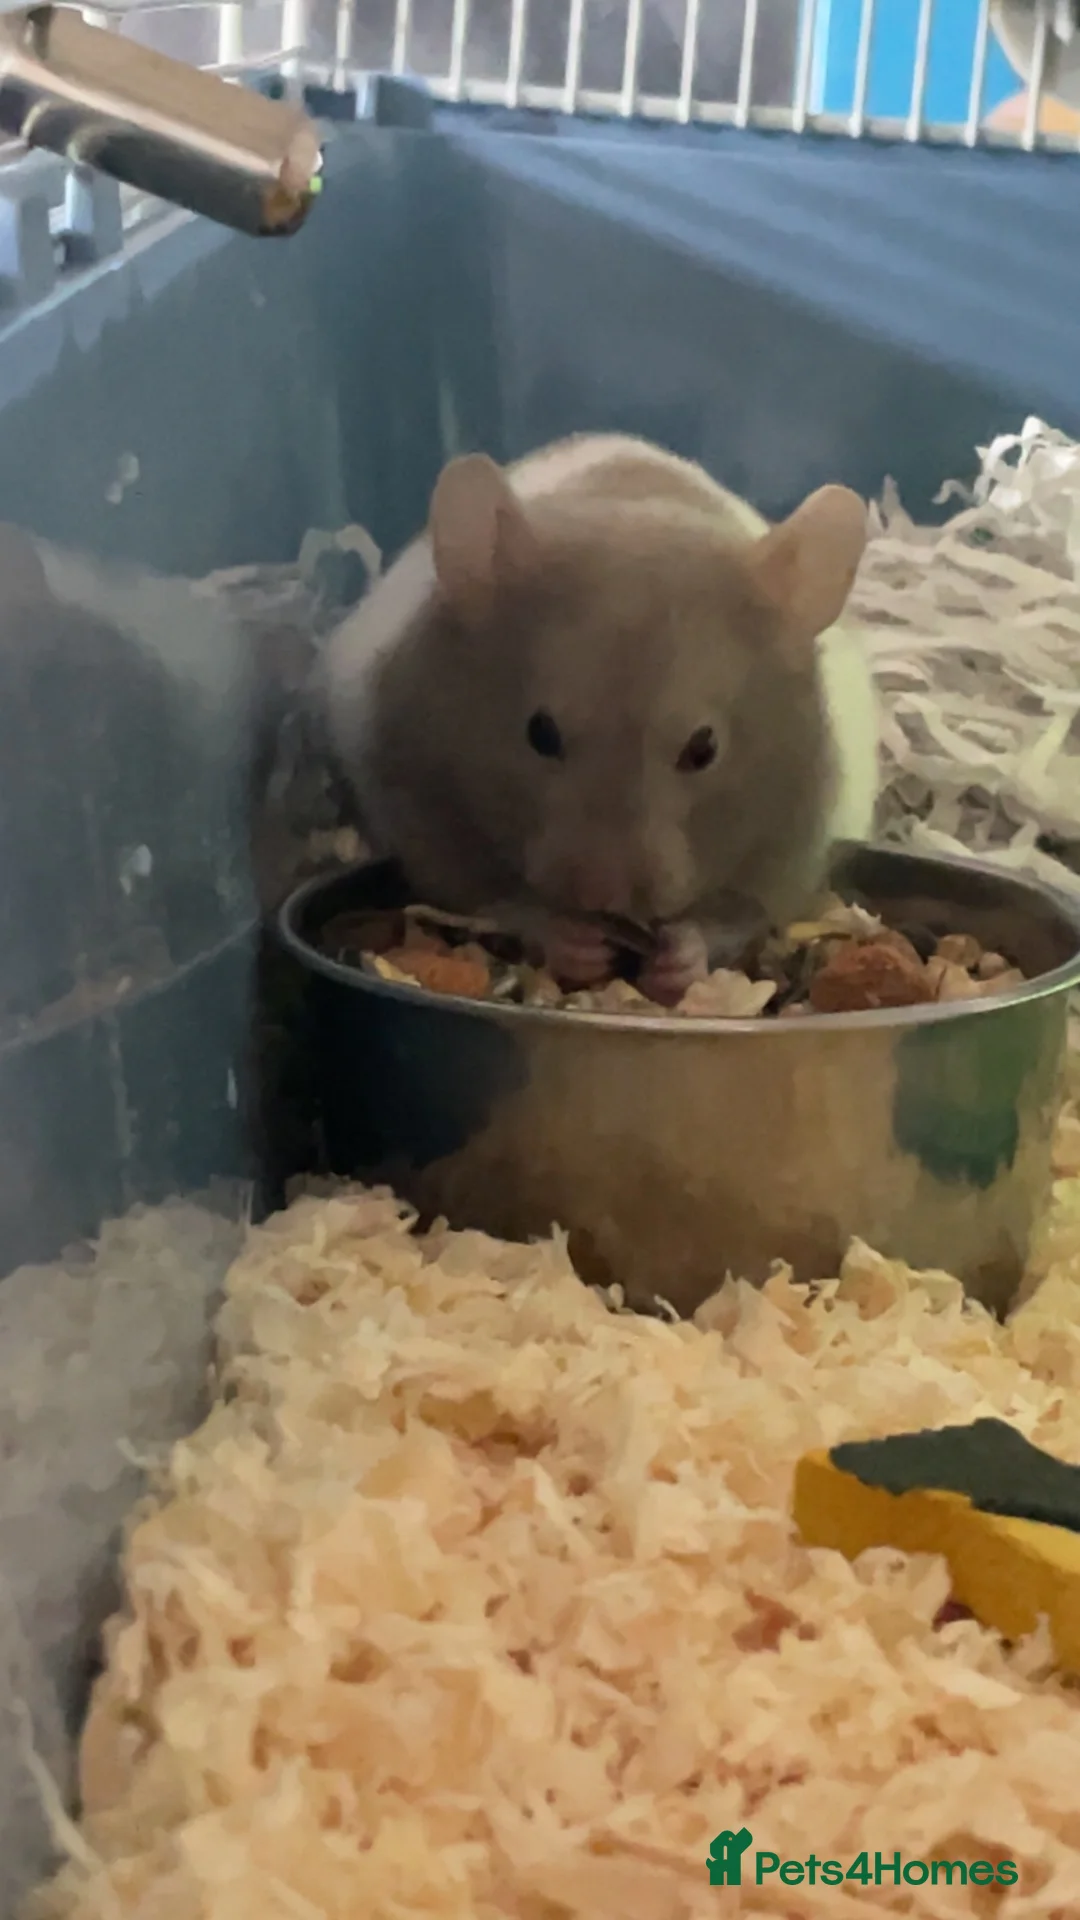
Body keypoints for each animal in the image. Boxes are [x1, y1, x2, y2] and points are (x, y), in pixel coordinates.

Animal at [324, 433, 878, 1006]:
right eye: (539, 733)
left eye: (704, 749)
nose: (601, 896)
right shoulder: (424, 811)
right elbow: (501, 901)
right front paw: (578, 943)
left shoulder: (791, 853)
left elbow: (734, 919)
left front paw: (677, 959)